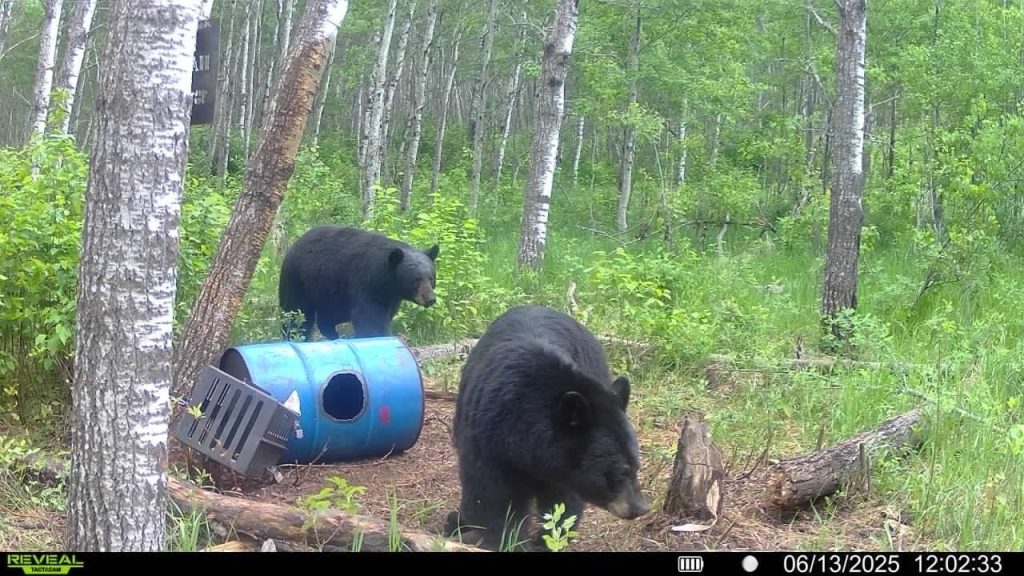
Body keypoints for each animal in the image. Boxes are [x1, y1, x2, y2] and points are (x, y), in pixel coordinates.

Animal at [278, 225, 439, 340]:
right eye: (416, 279)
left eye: (431, 278)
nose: (430, 299)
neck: (386, 282)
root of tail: (294, 245)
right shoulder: (365, 283)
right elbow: (368, 318)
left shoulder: (390, 298)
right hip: (299, 281)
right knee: (296, 313)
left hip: (330, 292)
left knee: (327, 318)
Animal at [444, 305, 650, 551]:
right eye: (621, 471)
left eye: (637, 465)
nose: (641, 508)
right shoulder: (487, 441)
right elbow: (492, 496)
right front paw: (502, 539)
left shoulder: (566, 469)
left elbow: (562, 504)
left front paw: (546, 541)